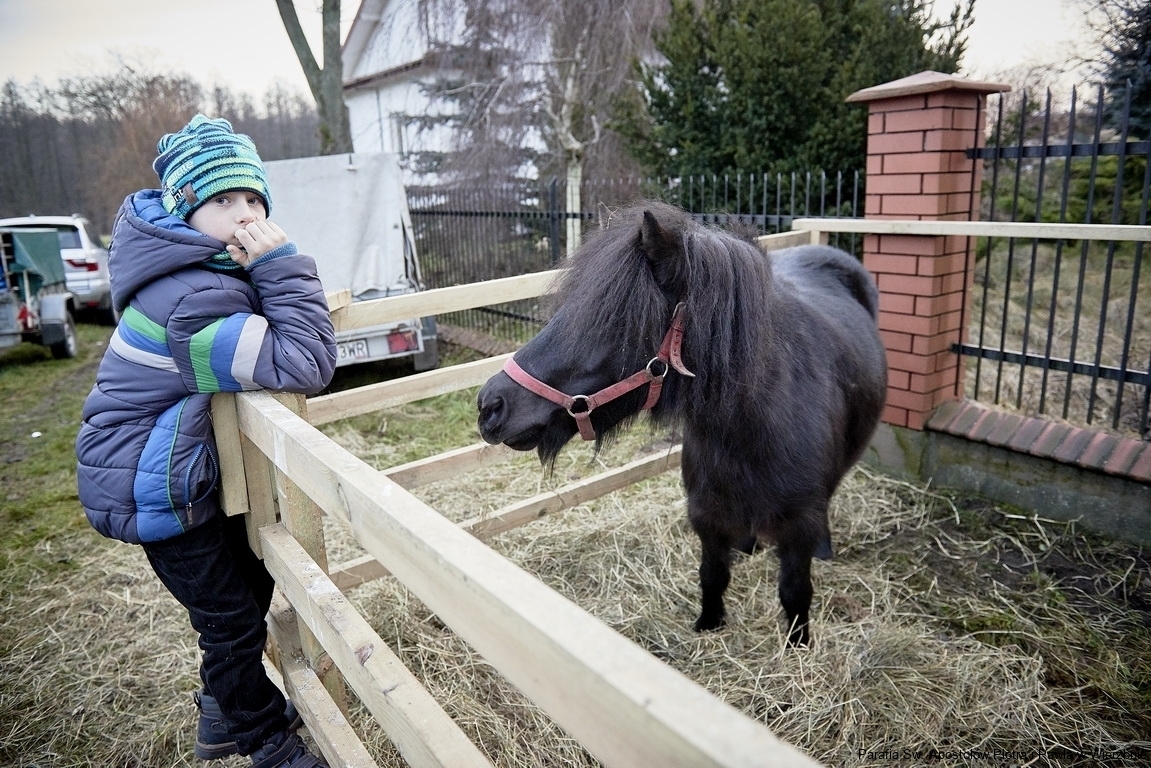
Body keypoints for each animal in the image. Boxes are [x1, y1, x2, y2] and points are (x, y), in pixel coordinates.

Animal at [476, 201, 887, 646]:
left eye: (615, 321)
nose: (490, 405)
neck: (749, 431)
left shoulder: (798, 526)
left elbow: (795, 594)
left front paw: (798, 647)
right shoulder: (705, 514)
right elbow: (712, 576)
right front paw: (708, 625)